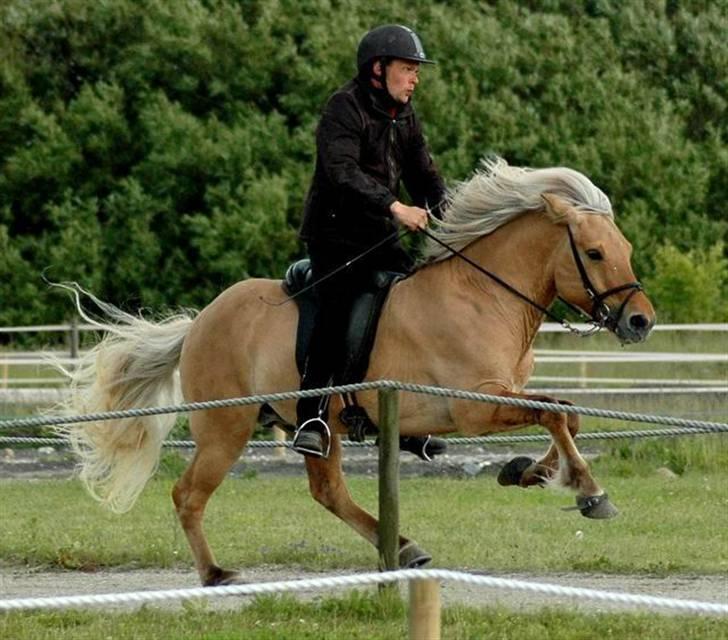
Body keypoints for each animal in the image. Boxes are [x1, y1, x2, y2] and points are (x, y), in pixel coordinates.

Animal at [61, 156, 656, 584]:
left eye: (623, 247)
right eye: (595, 253)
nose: (640, 321)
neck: (483, 296)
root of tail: (202, 320)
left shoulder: (502, 396)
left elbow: (565, 414)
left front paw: (529, 471)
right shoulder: (476, 408)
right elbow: (554, 415)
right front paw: (587, 490)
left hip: (319, 427)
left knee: (328, 492)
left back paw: (405, 547)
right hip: (224, 428)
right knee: (188, 495)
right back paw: (215, 574)